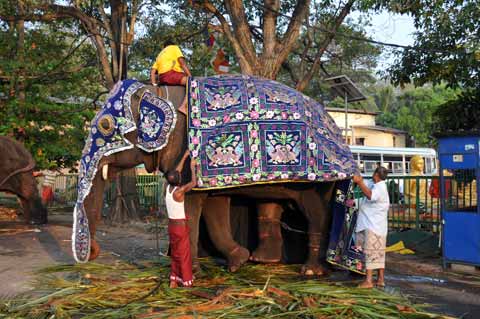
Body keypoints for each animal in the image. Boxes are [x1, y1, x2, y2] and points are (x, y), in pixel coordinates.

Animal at [72, 76, 356, 276]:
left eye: (105, 125)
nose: (95, 251)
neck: (162, 91)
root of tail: (334, 127)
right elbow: (215, 207)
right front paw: (238, 261)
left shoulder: (188, 156)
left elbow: (192, 205)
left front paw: (194, 273)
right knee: (270, 204)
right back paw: (262, 260)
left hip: (317, 178)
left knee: (315, 212)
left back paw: (311, 271)